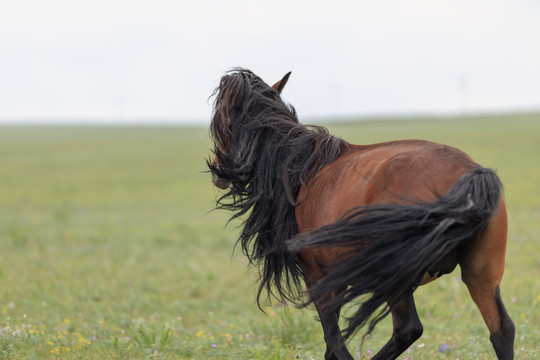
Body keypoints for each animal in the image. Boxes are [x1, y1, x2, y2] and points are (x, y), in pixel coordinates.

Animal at [207, 68, 516, 360]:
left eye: (221, 123)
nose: (218, 170)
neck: (301, 168)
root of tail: (470, 173)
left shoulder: (316, 275)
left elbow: (333, 336)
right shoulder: (337, 276)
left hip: (395, 277)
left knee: (406, 329)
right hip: (480, 274)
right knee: (502, 330)